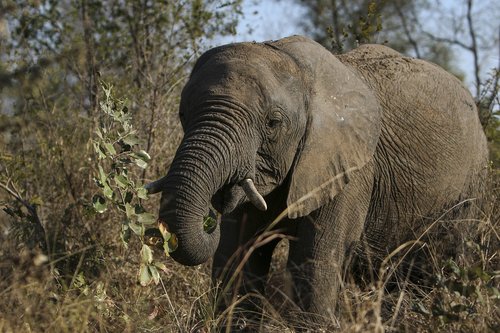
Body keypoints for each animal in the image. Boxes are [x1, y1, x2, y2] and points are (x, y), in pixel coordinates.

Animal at [145, 35, 488, 326]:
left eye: (273, 123)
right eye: (183, 114)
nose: (210, 218)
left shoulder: (351, 169)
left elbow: (314, 261)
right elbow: (238, 256)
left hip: (468, 191)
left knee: (436, 266)